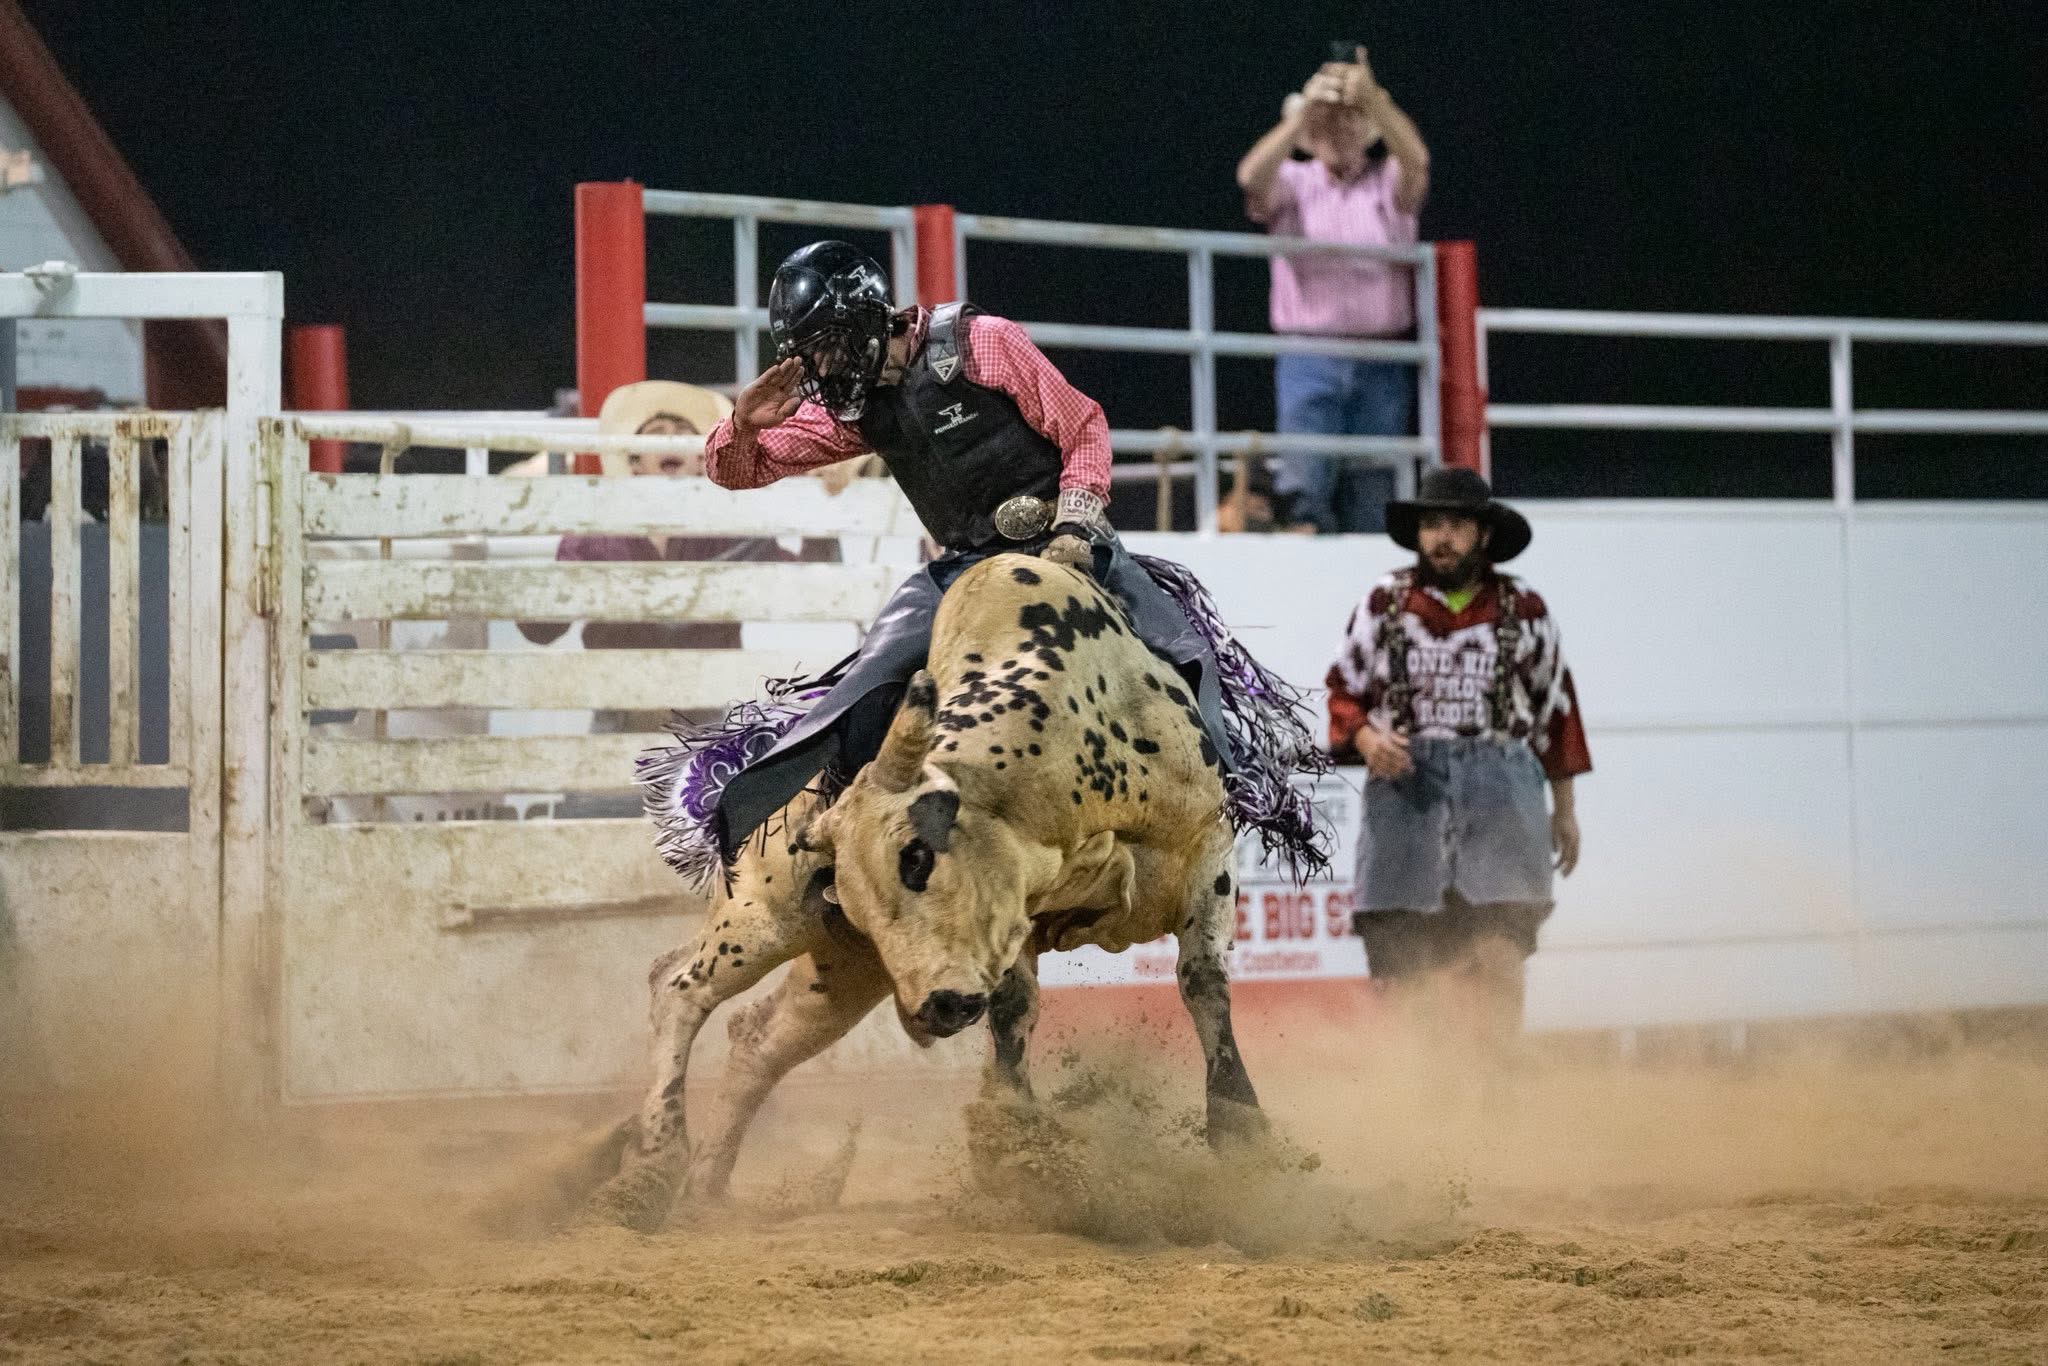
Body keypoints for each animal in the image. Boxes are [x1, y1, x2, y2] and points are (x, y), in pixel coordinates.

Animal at [589, 552, 1264, 1227]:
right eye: (856, 895)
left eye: (916, 857)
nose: (939, 1007)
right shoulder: (1011, 915)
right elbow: (1015, 1009)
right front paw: (1020, 1150)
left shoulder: (1207, 851)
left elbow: (1203, 982)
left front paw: (1243, 1131)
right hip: (764, 915)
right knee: (679, 988)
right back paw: (653, 1165)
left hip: (845, 967)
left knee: (758, 1038)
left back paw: (705, 1190)